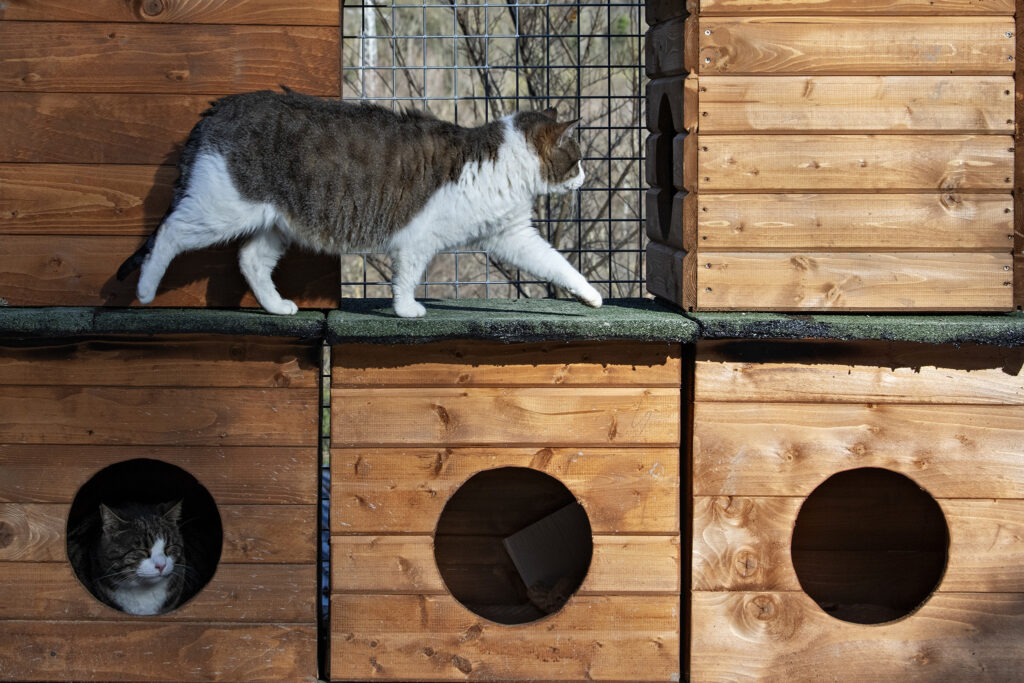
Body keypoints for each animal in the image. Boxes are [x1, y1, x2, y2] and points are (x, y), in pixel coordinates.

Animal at [116, 87, 603, 318]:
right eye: (577, 159)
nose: (586, 176)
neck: (504, 163)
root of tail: (219, 108)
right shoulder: (419, 239)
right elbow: (407, 278)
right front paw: (407, 311)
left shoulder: (511, 235)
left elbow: (558, 264)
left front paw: (592, 296)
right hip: (223, 207)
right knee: (169, 231)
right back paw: (145, 290)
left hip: (277, 223)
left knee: (250, 260)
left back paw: (277, 306)